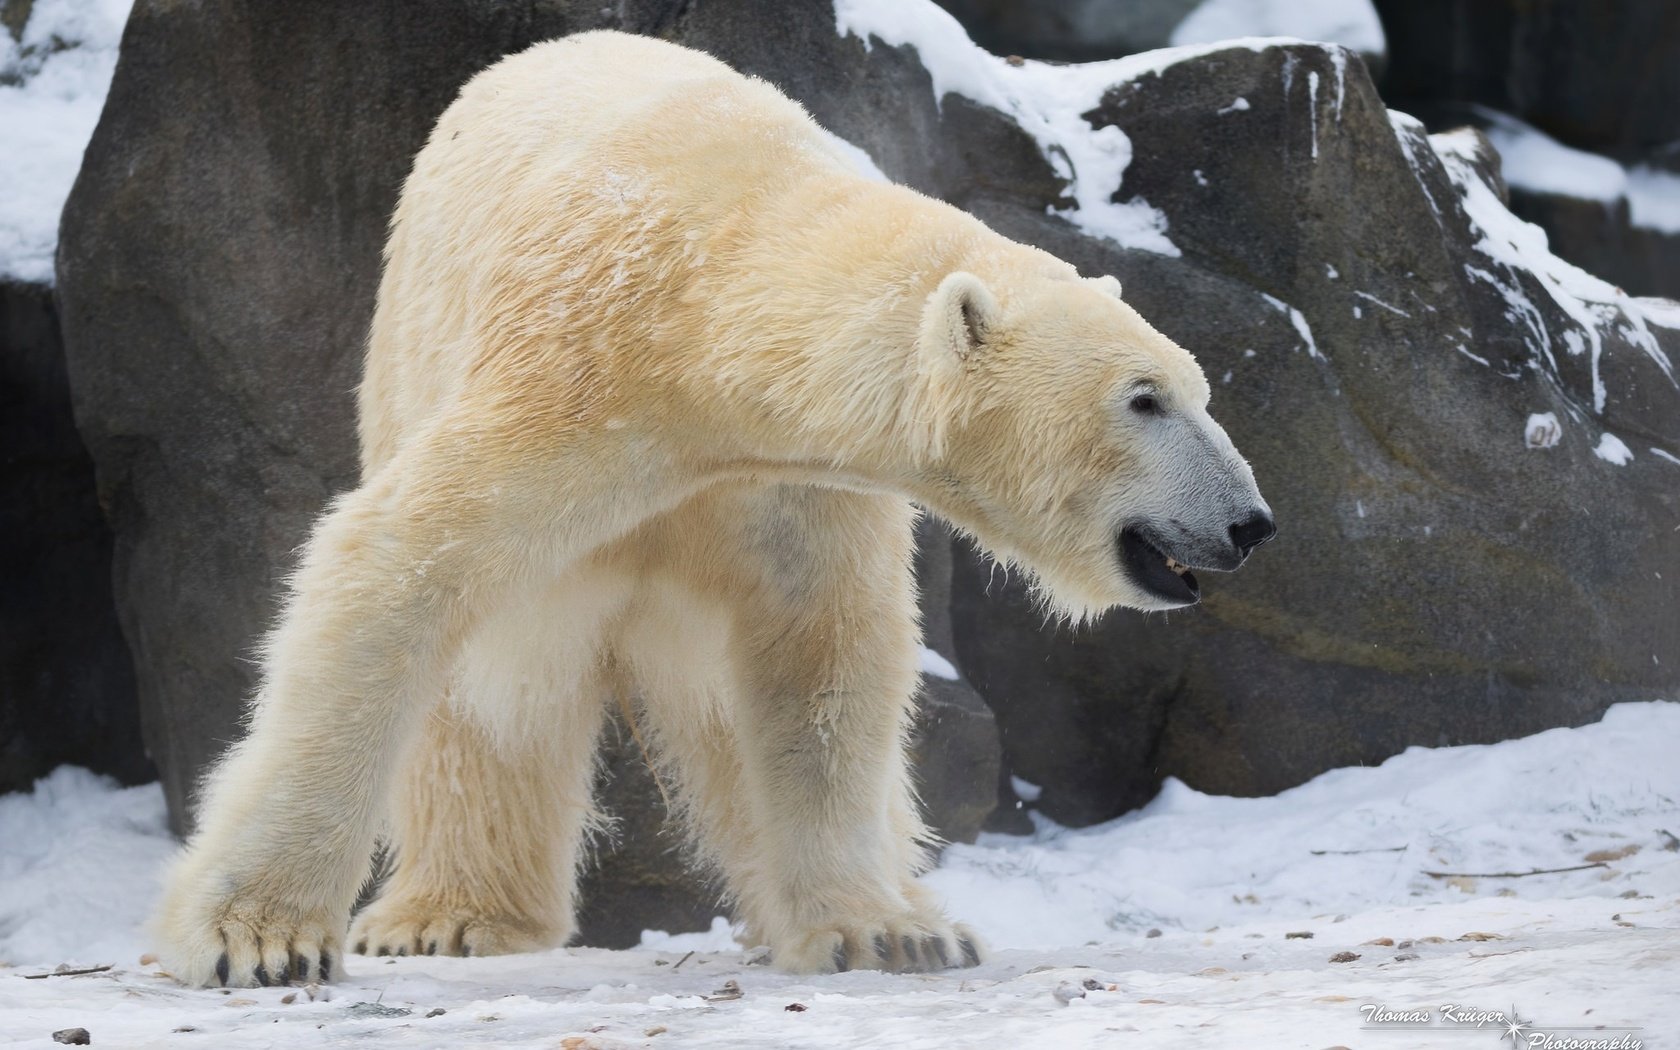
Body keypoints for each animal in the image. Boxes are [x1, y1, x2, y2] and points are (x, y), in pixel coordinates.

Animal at [151, 30, 1270, 981]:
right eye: (1145, 398)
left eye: (1201, 390)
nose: (1250, 523)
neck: (710, 288)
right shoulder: (569, 377)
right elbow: (398, 569)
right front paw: (256, 938)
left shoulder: (788, 478)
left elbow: (818, 660)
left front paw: (886, 931)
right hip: (406, 354)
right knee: (502, 680)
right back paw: (456, 916)